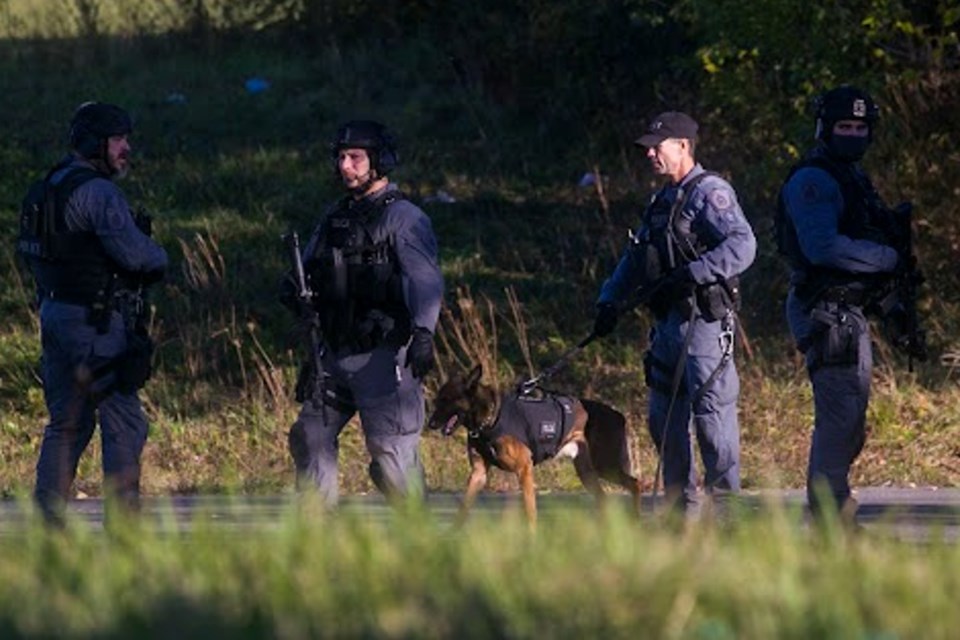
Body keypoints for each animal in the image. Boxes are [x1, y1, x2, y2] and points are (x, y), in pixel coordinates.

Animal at [430, 362, 644, 528]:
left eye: (447, 400)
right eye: (437, 400)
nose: (430, 424)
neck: (491, 418)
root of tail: (618, 415)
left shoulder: (524, 470)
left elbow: (530, 512)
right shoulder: (478, 474)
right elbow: (463, 508)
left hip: (605, 466)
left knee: (635, 483)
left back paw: (635, 522)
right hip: (588, 472)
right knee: (604, 499)